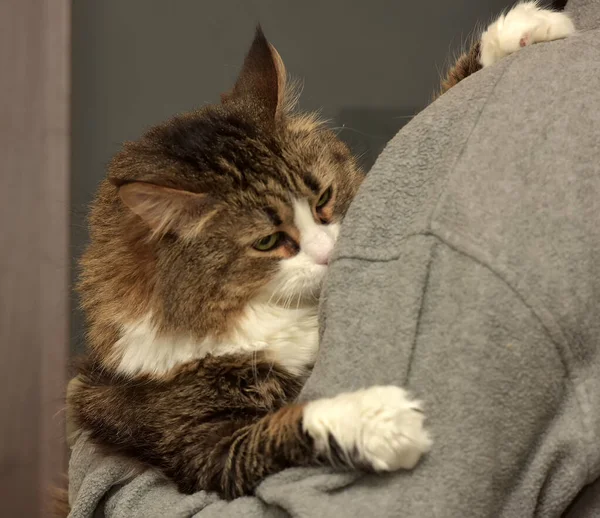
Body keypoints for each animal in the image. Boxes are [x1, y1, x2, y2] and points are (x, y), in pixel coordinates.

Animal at [63, 0, 576, 506]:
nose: (332, 254)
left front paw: (520, 31)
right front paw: (379, 419)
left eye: (324, 199)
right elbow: (285, 425)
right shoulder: (203, 446)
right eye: (267, 242)